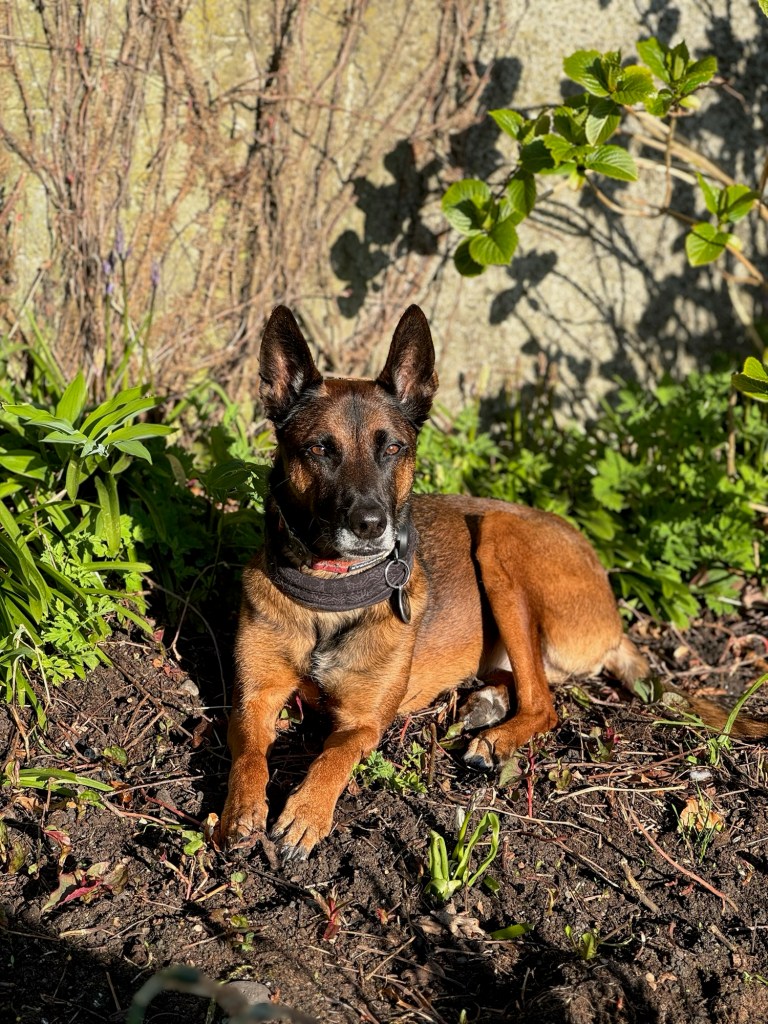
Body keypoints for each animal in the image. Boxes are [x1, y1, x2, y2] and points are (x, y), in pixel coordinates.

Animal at [220, 304, 763, 860]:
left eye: (392, 448)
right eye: (319, 450)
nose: (371, 524)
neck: (330, 597)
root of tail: (611, 608)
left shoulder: (362, 722)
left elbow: (334, 755)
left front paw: (306, 812)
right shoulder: (254, 698)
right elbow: (248, 749)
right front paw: (241, 810)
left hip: (498, 540)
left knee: (545, 703)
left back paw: (496, 736)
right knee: (529, 684)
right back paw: (487, 703)